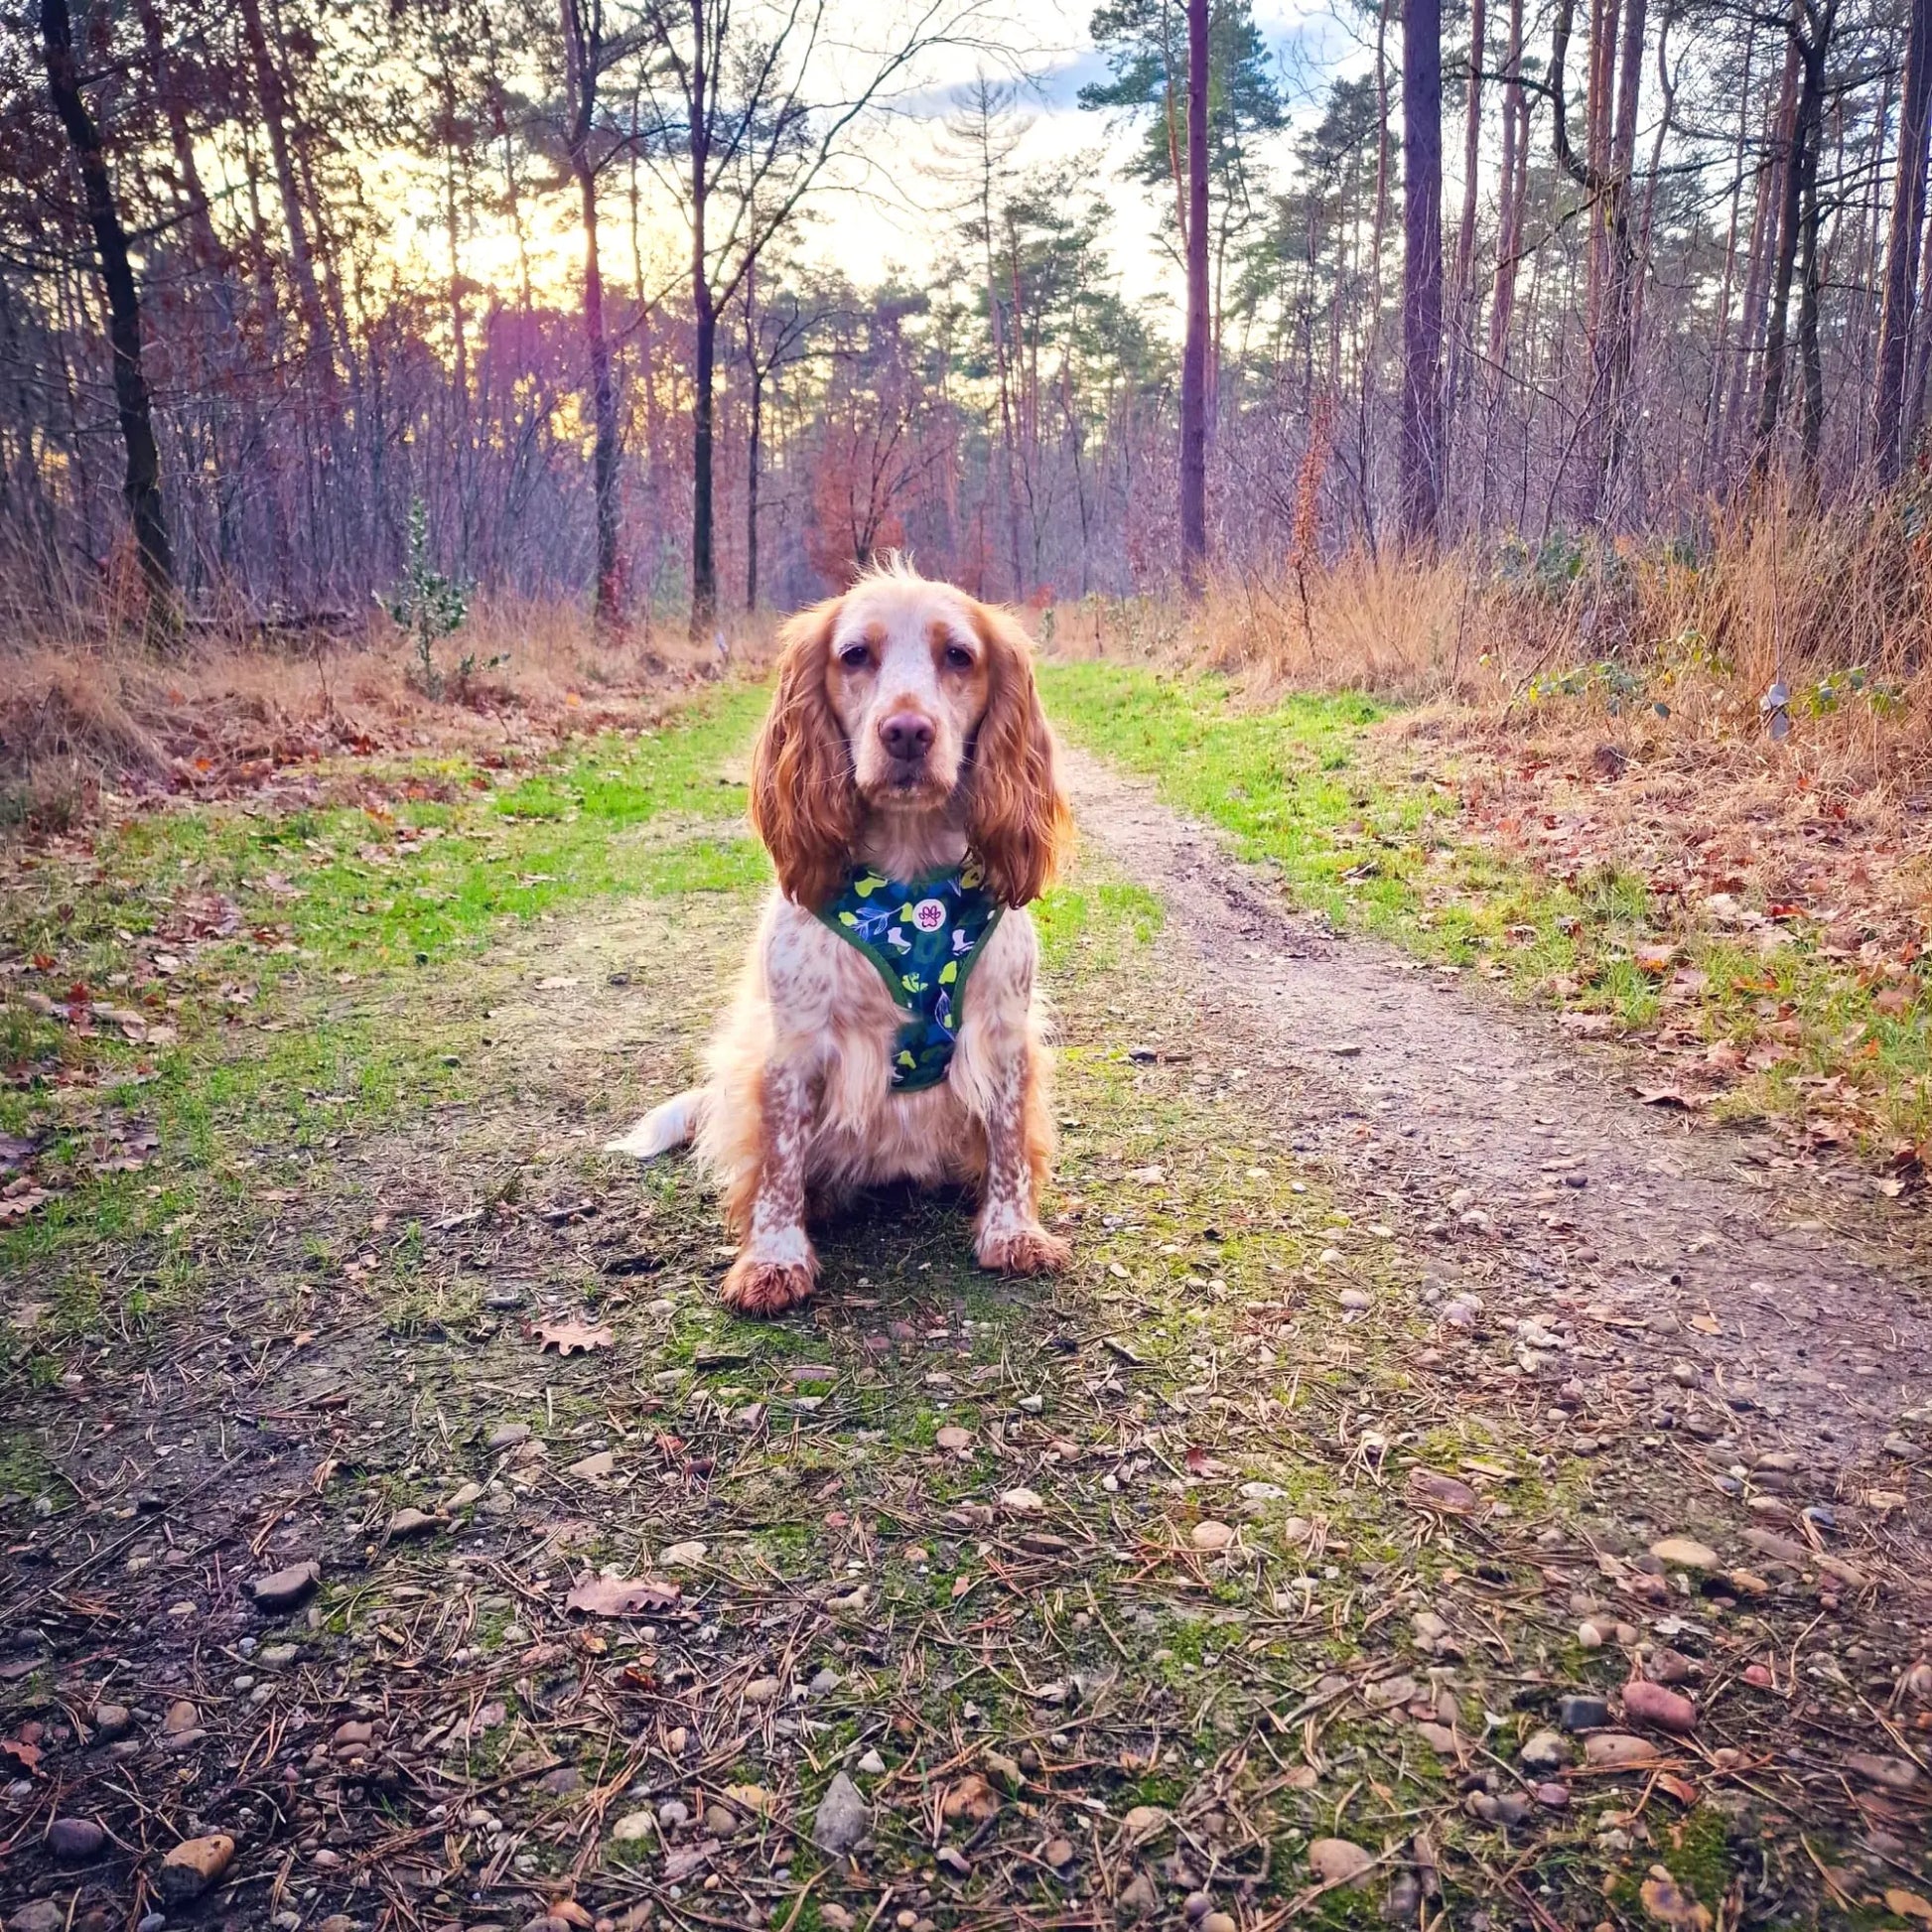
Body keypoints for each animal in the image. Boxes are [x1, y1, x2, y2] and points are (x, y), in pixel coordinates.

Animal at [607, 552, 1073, 1321]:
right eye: (855, 655)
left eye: (959, 656)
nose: (907, 731)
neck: (913, 883)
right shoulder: (791, 1050)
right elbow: (778, 1165)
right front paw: (773, 1261)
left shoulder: (1005, 1035)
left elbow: (1009, 1144)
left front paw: (1012, 1232)